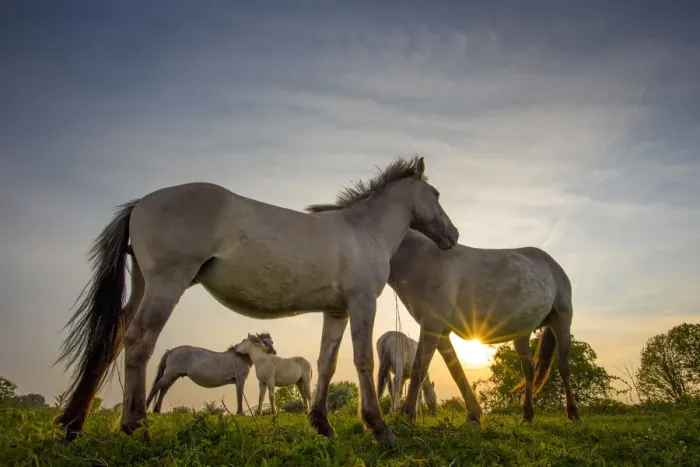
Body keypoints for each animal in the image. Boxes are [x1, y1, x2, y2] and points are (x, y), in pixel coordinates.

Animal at [145, 332, 276, 414]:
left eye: (272, 341)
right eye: (263, 342)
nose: (273, 352)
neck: (240, 356)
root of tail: (172, 350)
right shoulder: (240, 380)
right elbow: (239, 396)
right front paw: (240, 413)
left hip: (173, 376)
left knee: (163, 390)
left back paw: (157, 411)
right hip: (169, 375)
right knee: (156, 388)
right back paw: (146, 407)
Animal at [385, 229, 581, 425]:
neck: (419, 257)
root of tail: (553, 264)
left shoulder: (432, 324)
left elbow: (420, 367)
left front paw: (407, 415)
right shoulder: (439, 330)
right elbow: (455, 370)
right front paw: (474, 414)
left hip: (562, 320)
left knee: (563, 367)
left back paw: (573, 413)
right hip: (522, 333)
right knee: (529, 370)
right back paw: (527, 415)